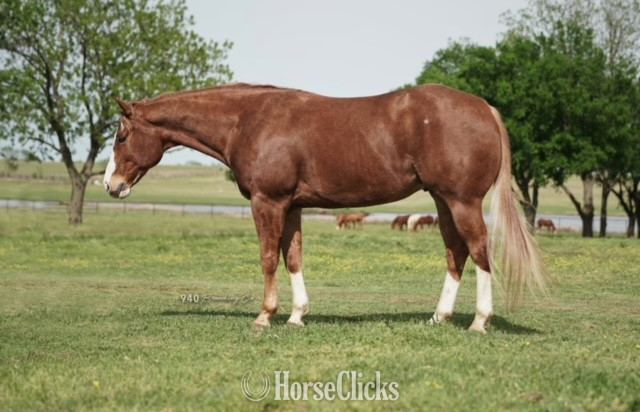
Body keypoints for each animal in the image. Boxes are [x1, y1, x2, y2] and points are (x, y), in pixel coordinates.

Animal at [103, 83, 547, 333]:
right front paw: (297, 315)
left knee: (480, 250)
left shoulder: (268, 201)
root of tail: (484, 108)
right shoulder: (293, 206)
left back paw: (479, 321)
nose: (110, 184)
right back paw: (439, 317)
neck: (249, 119)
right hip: (443, 200)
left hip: (462, 201)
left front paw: (265, 316)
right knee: (456, 252)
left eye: (121, 136)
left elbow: (268, 258)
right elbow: (293, 257)